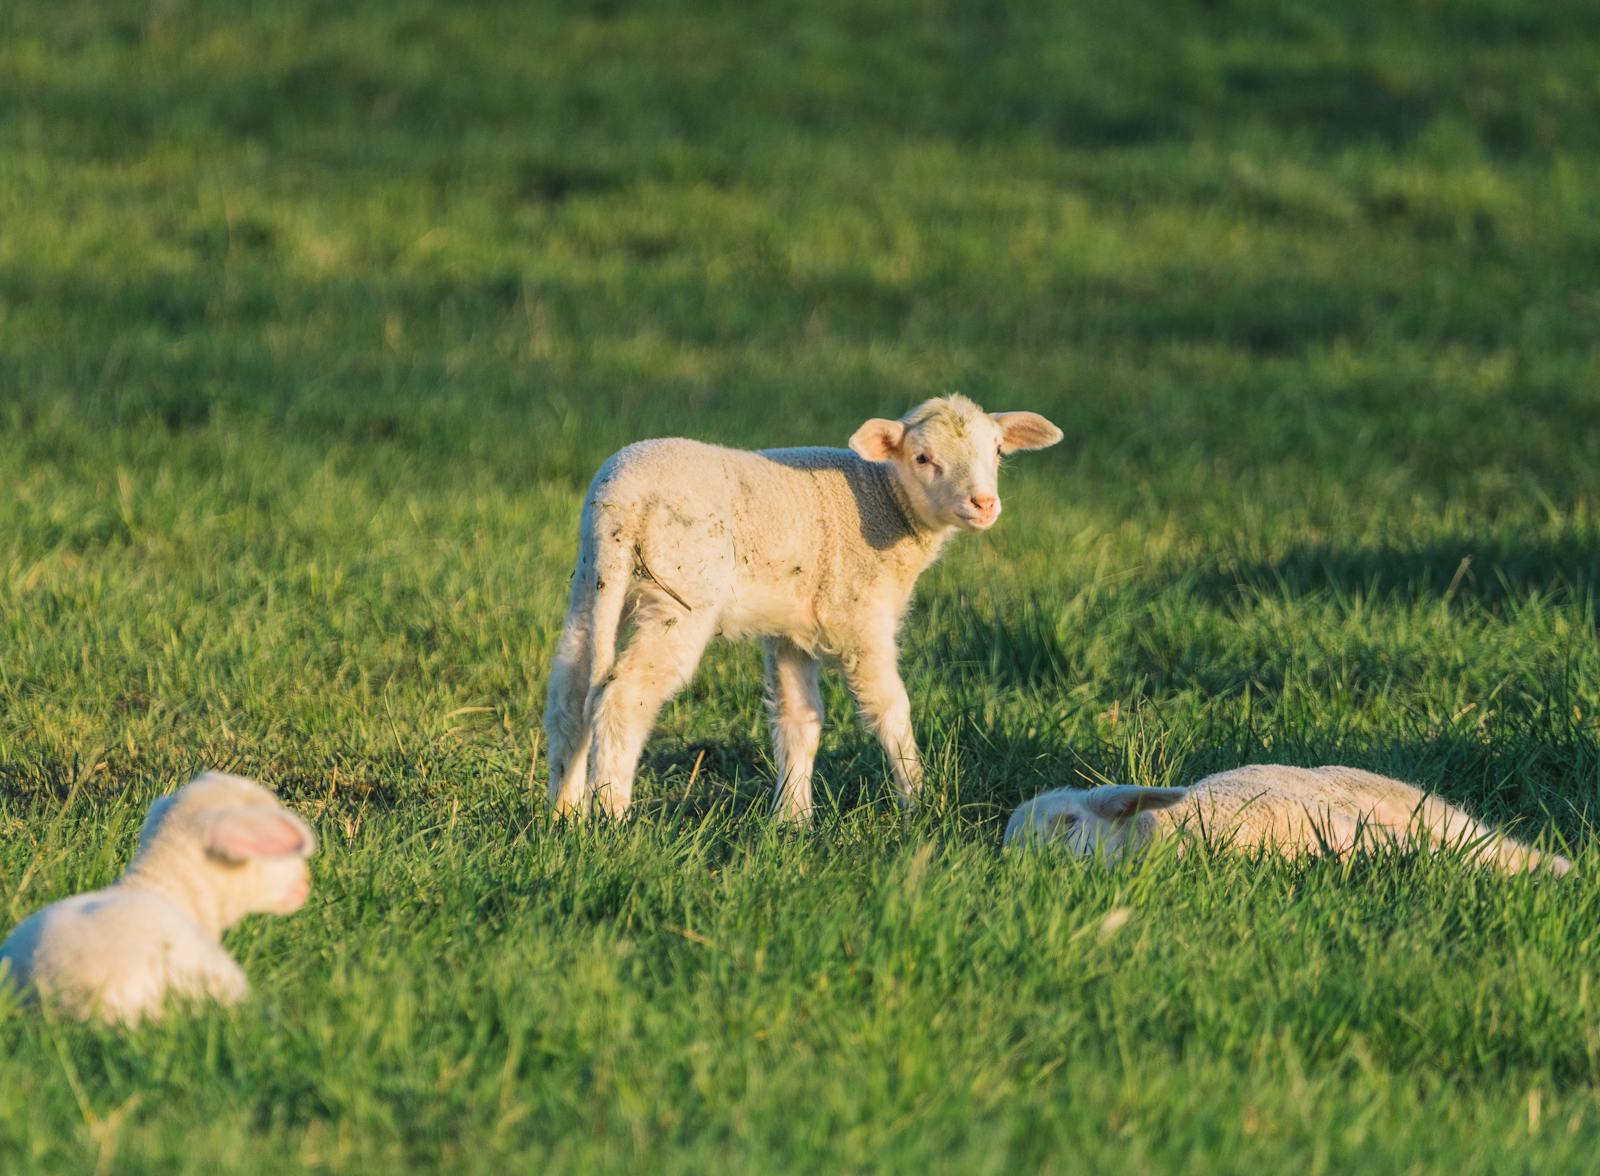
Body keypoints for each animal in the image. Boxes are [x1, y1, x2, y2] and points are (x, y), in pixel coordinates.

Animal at [544, 394, 1063, 821]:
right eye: (922, 457)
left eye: (997, 452)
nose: (984, 503)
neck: (886, 500)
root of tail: (620, 499)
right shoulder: (861, 618)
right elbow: (891, 710)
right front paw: (920, 801)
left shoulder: (791, 628)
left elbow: (800, 720)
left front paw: (793, 819)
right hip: (680, 594)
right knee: (624, 696)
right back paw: (612, 814)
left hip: (593, 581)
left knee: (570, 693)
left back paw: (564, 813)